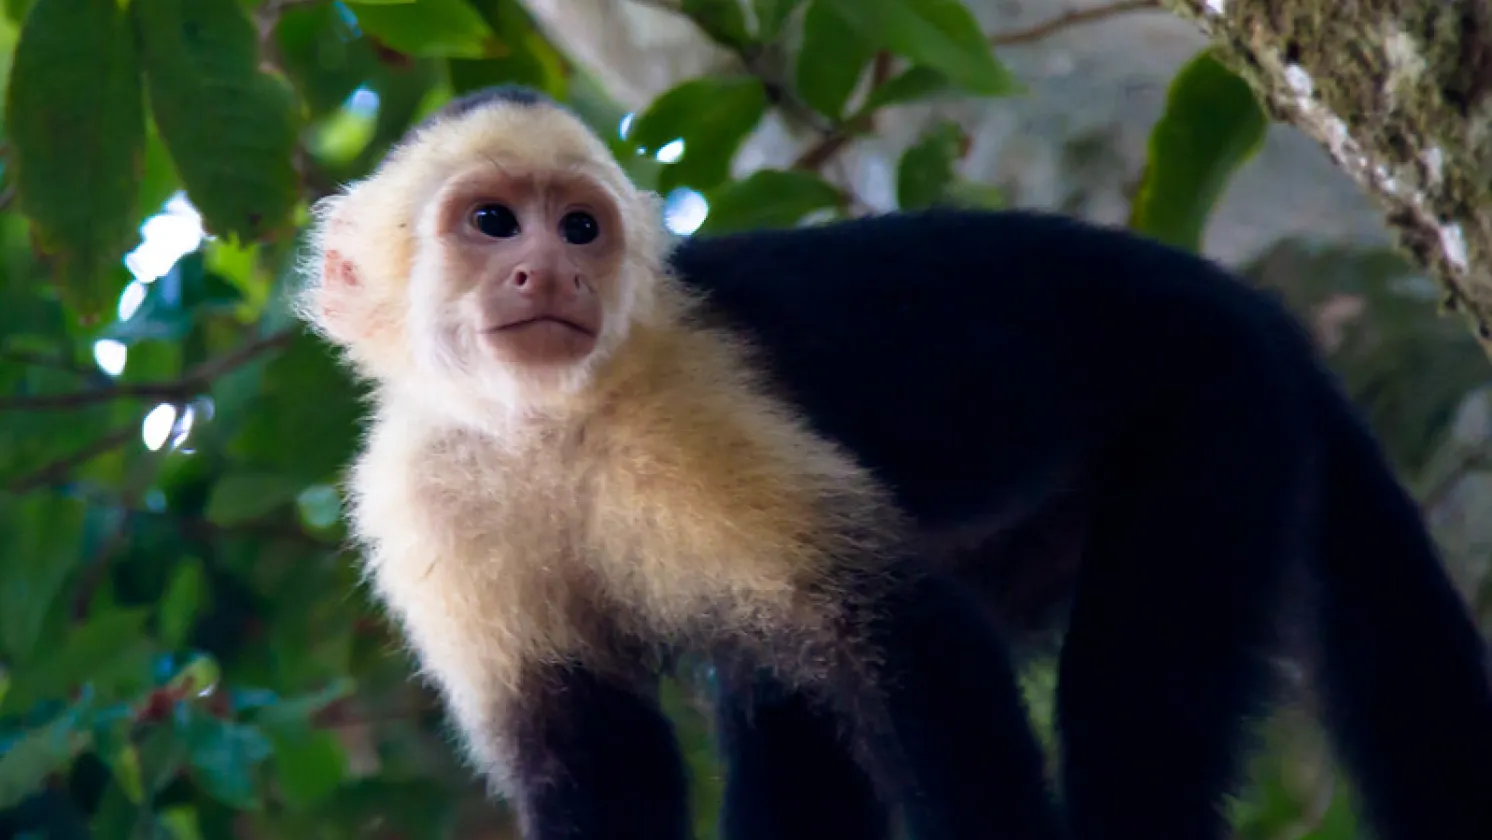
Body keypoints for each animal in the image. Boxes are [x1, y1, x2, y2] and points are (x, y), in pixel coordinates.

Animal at [295, 84, 1492, 840]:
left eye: (581, 229)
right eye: (493, 222)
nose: (550, 274)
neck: (539, 426)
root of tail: (1253, 307)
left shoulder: (690, 408)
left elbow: (906, 644)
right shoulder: (419, 501)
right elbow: (589, 755)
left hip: (1218, 416)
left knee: (1133, 706)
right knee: (776, 691)